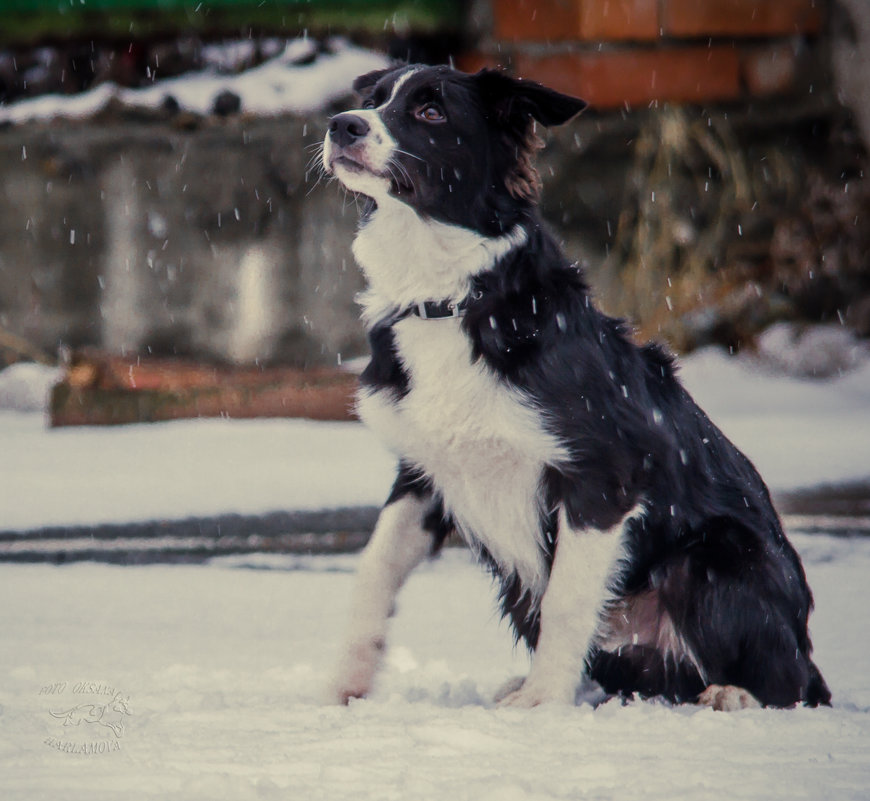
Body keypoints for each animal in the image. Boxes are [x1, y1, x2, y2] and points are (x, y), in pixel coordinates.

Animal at [320, 65, 832, 708]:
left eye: (430, 111)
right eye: (372, 99)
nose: (342, 125)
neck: (454, 296)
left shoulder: (604, 475)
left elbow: (567, 600)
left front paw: (542, 703)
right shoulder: (422, 475)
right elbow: (374, 570)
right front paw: (345, 684)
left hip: (714, 558)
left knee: (794, 682)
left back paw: (733, 694)